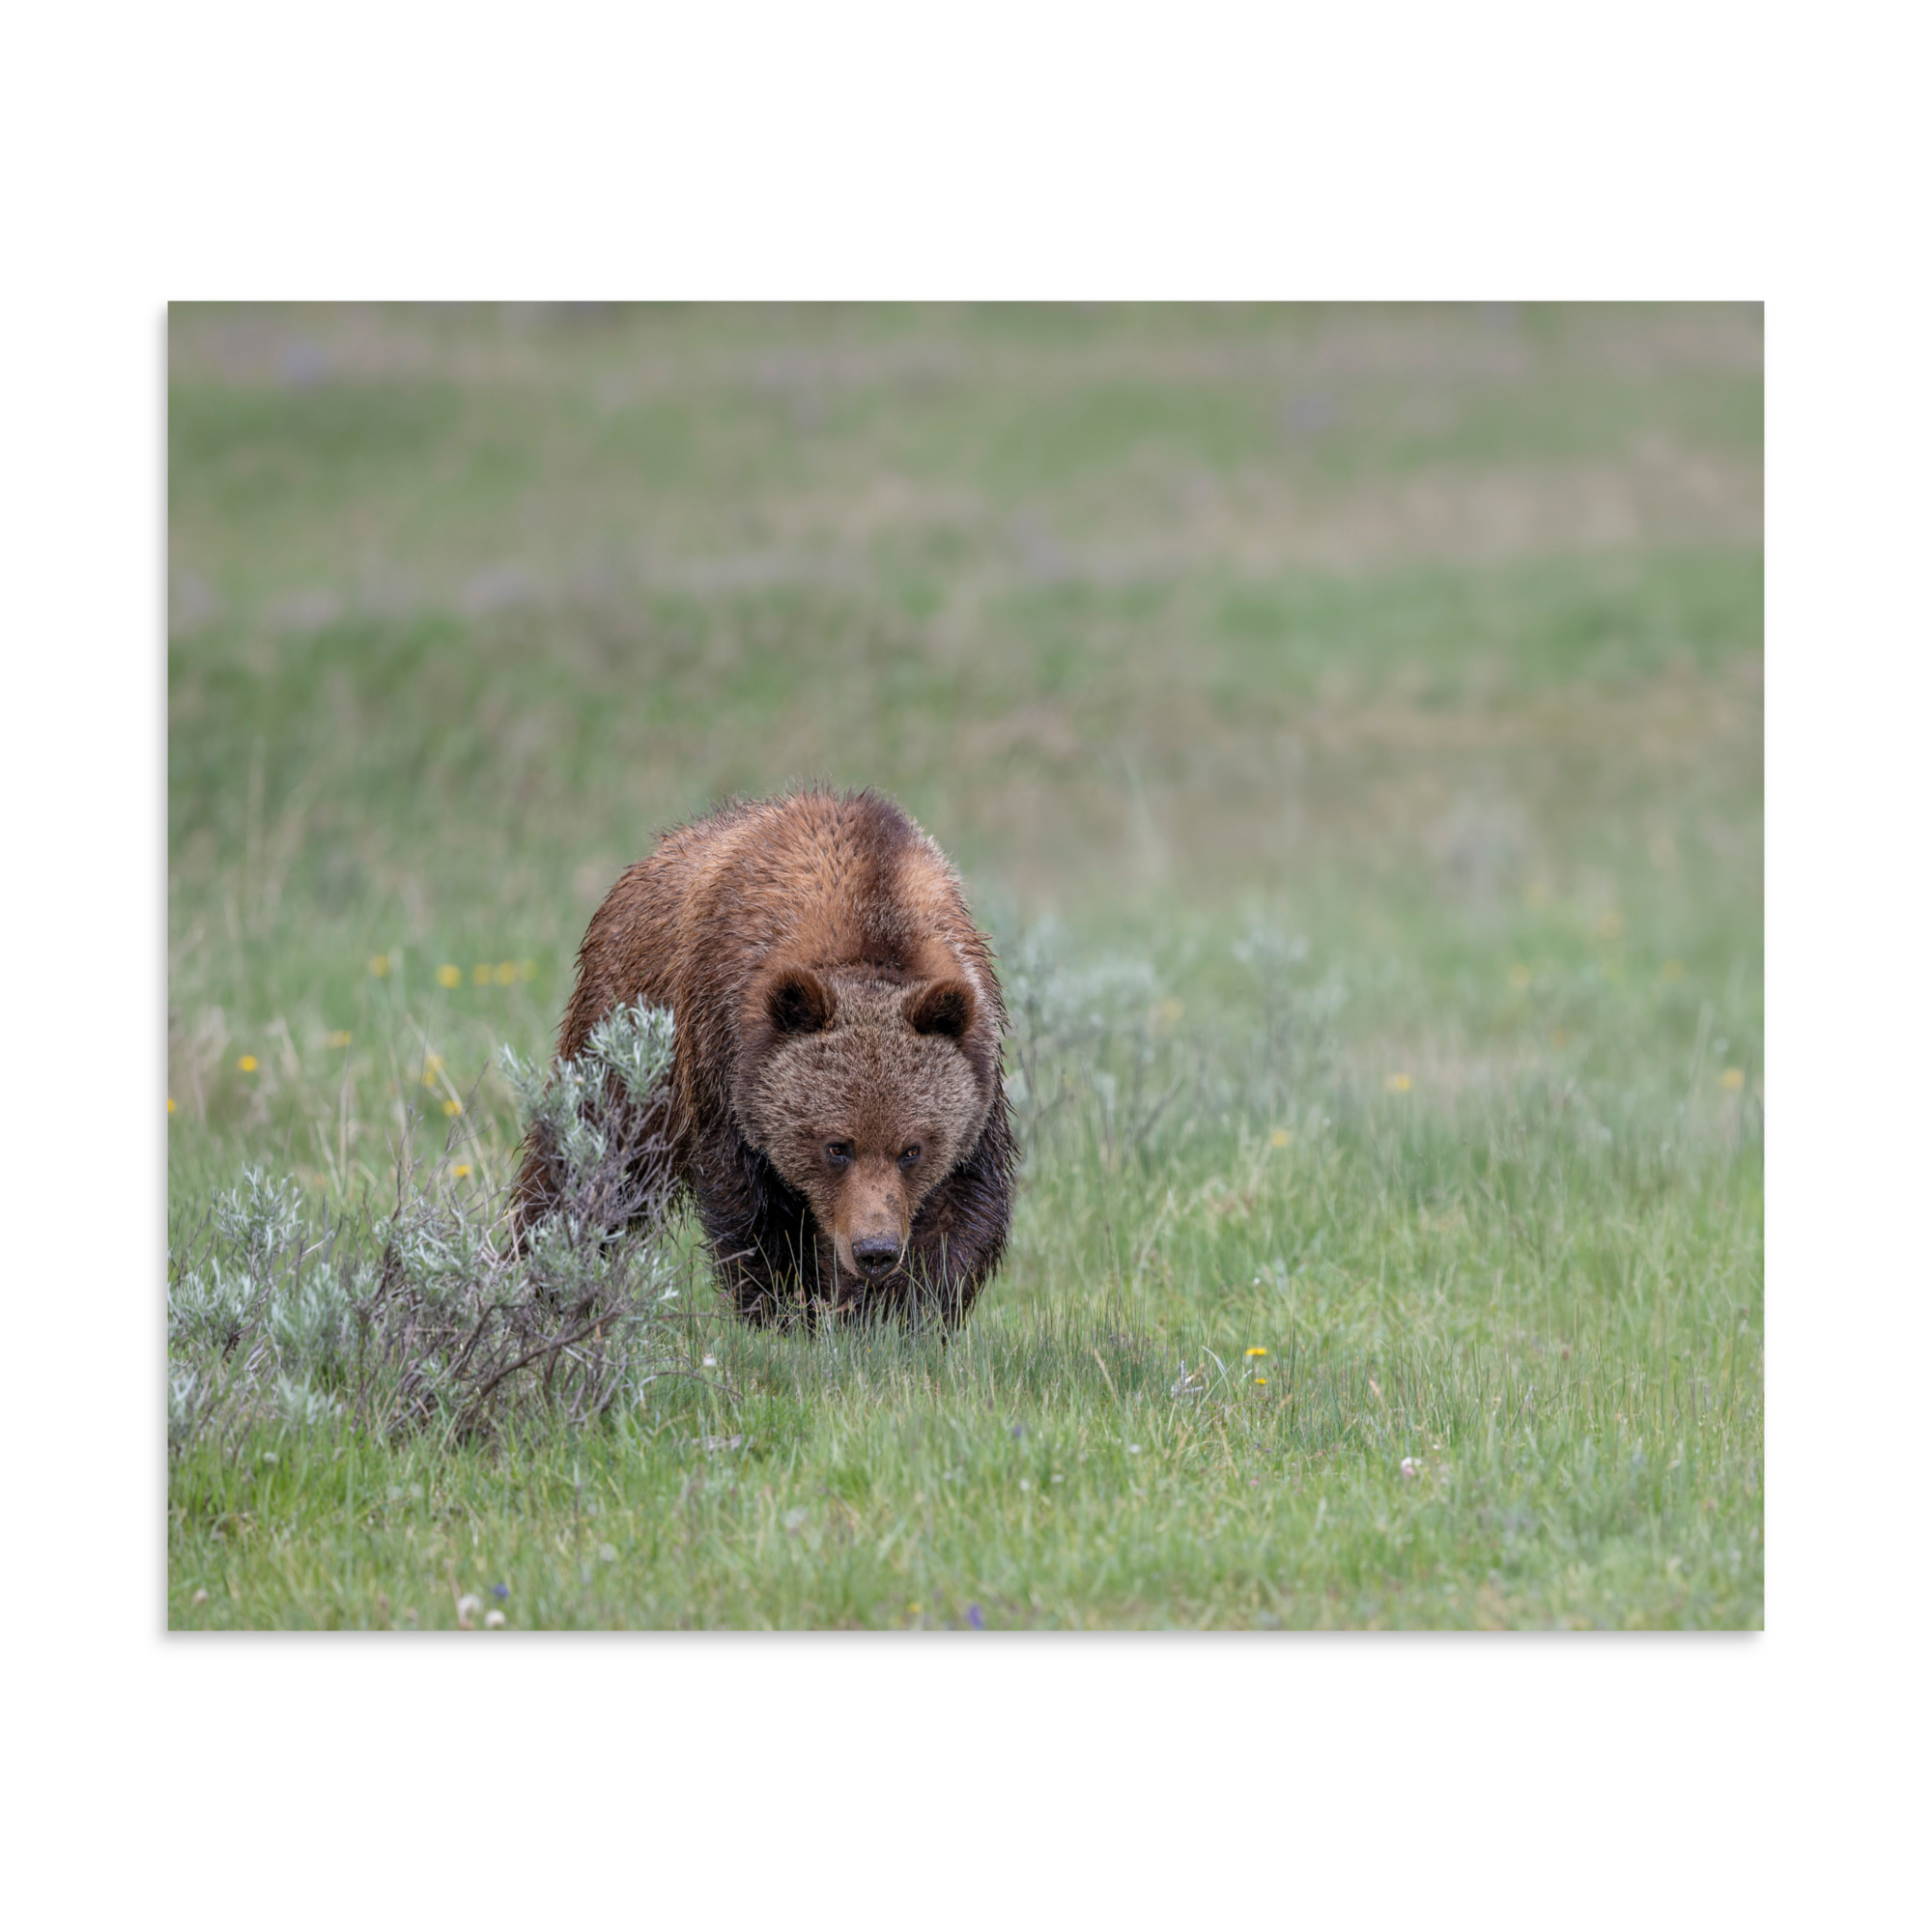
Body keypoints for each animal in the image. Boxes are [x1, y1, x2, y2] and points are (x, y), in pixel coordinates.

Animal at [514, 787, 1019, 1325]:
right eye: (836, 1146)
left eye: (912, 1150)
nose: (875, 1250)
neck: (871, 919)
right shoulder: (724, 1056)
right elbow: (754, 1211)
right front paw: (786, 1309)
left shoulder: (978, 1071)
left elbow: (961, 1209)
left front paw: (893, 1314)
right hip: (625, 1035)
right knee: (587, 1159)